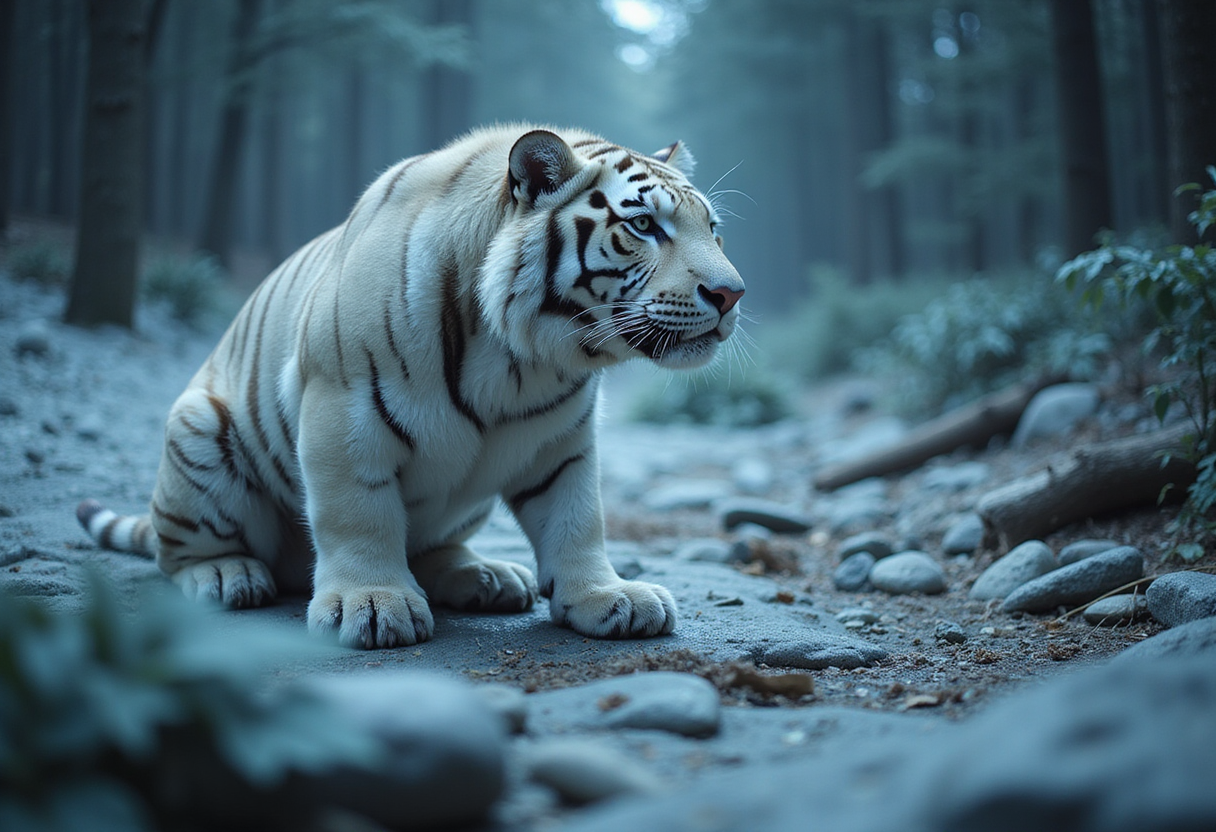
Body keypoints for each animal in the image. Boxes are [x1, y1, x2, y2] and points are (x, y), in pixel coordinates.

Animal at [76, 124, 745, 649]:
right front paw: (371, 604)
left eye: (713, 230)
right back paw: (225, 576)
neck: (521, 358)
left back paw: (487, 577)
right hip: (198, 426)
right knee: (175, 552)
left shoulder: (564, 441)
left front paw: (608, 596)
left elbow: (579, 518)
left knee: (433, 546)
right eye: (644, 225)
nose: (732, 293)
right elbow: (359, 515)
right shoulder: (342, 411)